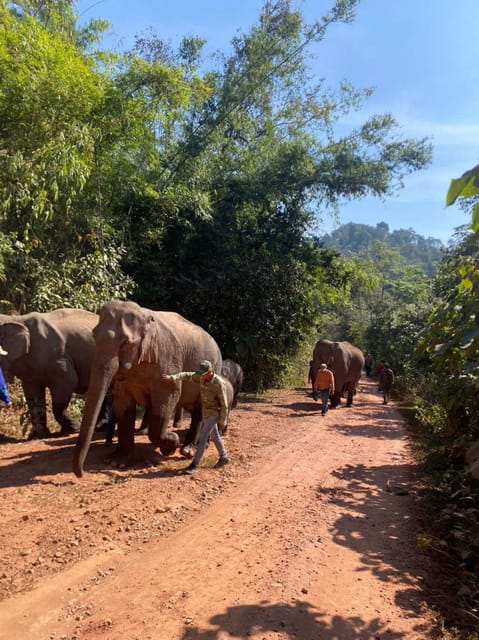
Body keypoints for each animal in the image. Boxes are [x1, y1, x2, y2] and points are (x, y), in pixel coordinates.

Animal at [0, 308, 98, 438]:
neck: (16, 319)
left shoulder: (58, 359)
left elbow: (68, 383)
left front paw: (72, 429)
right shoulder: (30, 372)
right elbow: (33, 396)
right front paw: (37, 435)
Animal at [73, 300, 223, 476]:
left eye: (125, 343)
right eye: (94, 337)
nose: (81, 473)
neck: (144, 315)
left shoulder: (167, 359)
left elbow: (168, 397)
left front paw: (171, 444)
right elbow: (123, 404)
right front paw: (116, 462)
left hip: (213, 371)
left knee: (201, 409)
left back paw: (188, 450)